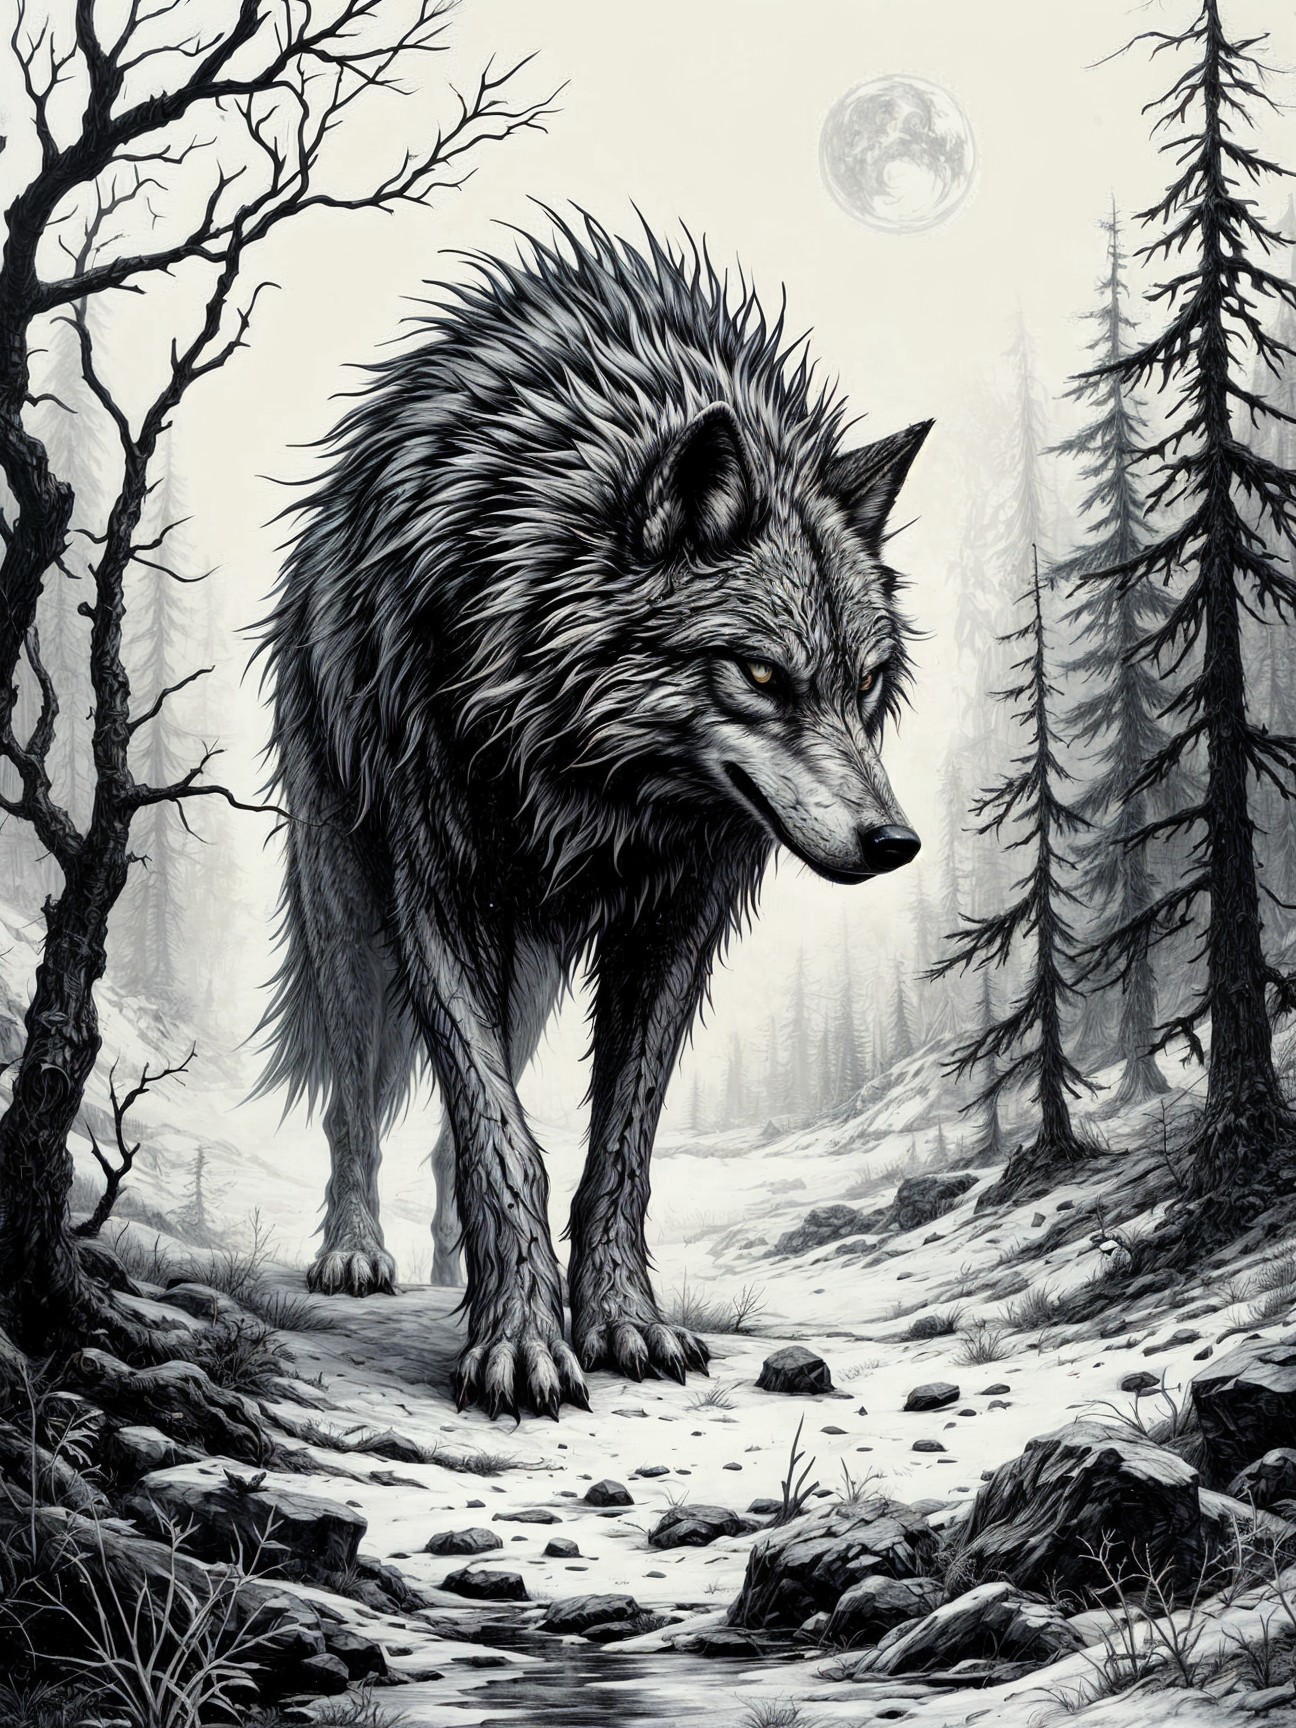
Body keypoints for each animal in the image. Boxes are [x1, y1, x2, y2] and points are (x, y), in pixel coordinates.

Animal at [258, 215, 930, 1418]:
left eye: (865, 682)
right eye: (762, 673)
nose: (895, 844)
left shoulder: (678, 920)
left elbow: (614, 1146)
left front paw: (619, 1320)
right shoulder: (439, 894)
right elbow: (499, 1139)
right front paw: (520, 1341)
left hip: (525, 978)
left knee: (455, 1127)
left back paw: (449, 1268)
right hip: (349, 912)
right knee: (356, 1096)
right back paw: (356, 1251)